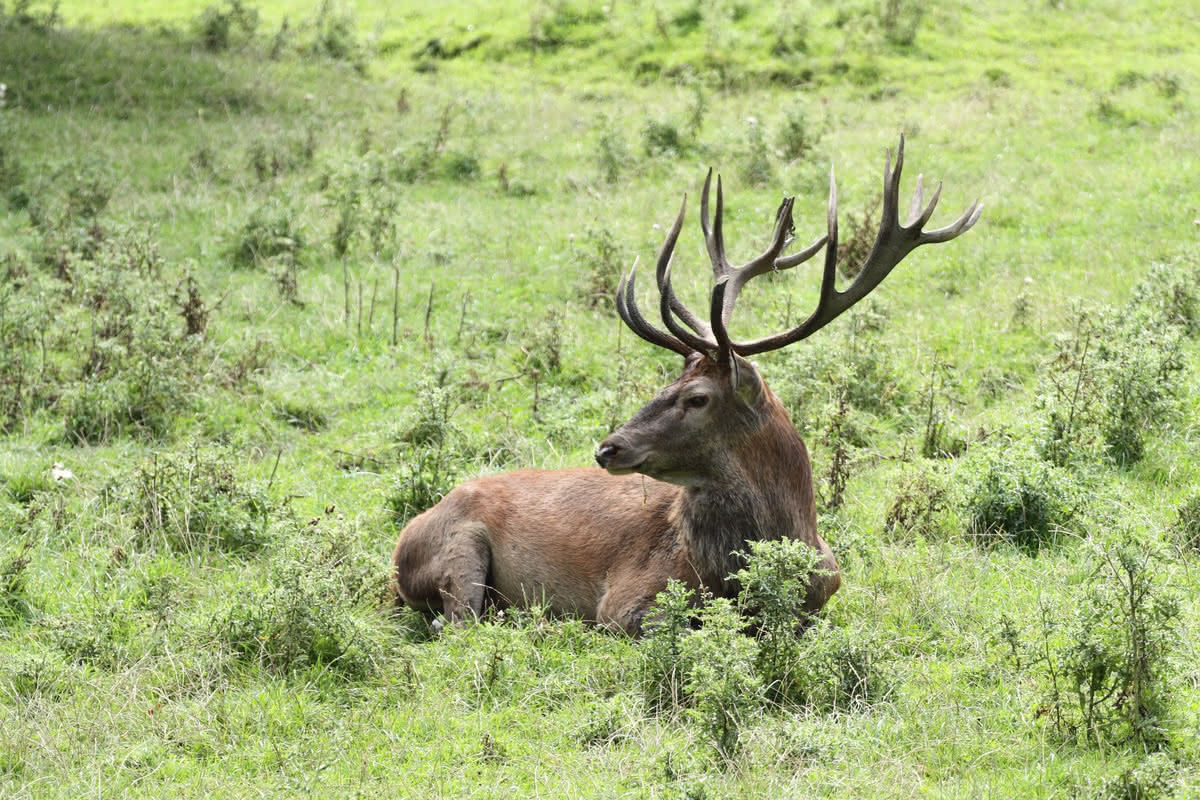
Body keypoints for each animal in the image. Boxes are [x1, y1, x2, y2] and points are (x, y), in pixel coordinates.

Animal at [388, 137, 979, 638]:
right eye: (669, 381)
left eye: (697, 398)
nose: (608, 447)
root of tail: (408, 534)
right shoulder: (625, 600)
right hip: (457, 547)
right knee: (458, 622)